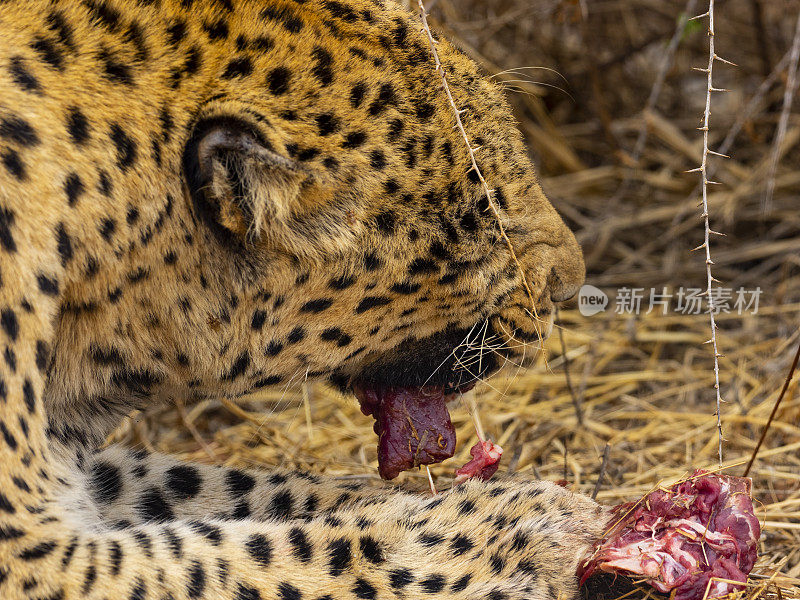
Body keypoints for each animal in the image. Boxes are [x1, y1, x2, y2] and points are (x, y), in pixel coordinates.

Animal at [0, 0, 608, 596]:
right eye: (488, 214)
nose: (571, 285)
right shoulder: (34, 558)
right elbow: (251, 554)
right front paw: (520, 528)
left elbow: (214, 485)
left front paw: (409, 500)